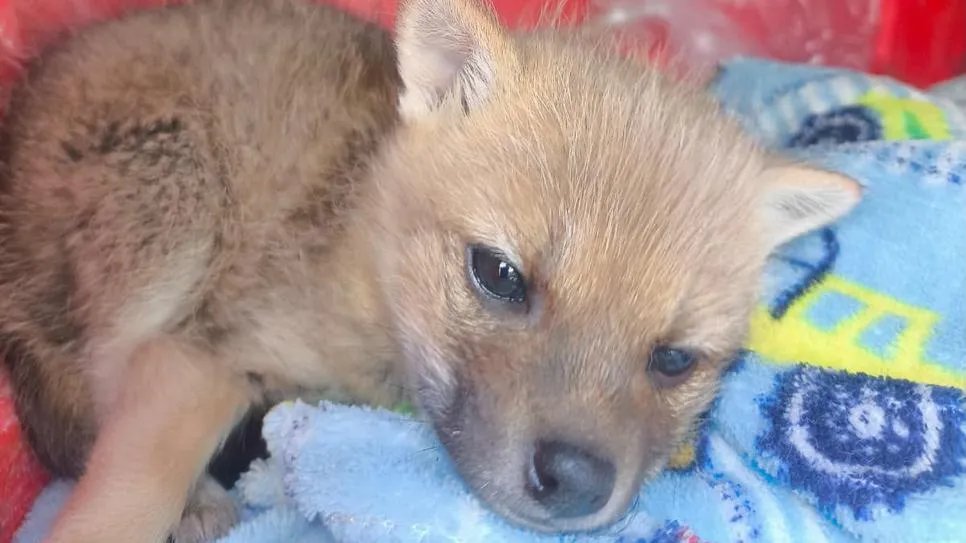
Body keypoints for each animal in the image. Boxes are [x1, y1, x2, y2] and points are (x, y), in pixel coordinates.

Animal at [0, 0, 862, 541]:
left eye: (675, 358)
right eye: (499, 273)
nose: (577, 481)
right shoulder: (197, 353)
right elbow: (123, 496)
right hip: (174, 207)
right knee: (91, 388)